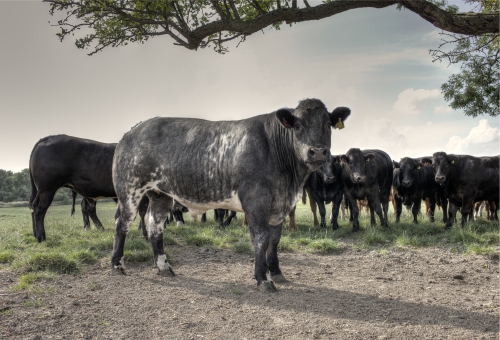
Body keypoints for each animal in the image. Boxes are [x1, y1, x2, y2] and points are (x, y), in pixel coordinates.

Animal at [111, 99, 350, 292]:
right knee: (122, 224)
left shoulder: (279, 205)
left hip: (159, 193)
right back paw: (117, 265)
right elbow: (261, 239)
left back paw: (163, 267)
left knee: (155, 226)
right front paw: (263, 279)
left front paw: (277, 272)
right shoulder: (257, 201)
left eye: (327, 124)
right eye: (298, 125)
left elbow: (274, 239)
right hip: (129, 190)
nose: (317, 151)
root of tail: (134, 131)